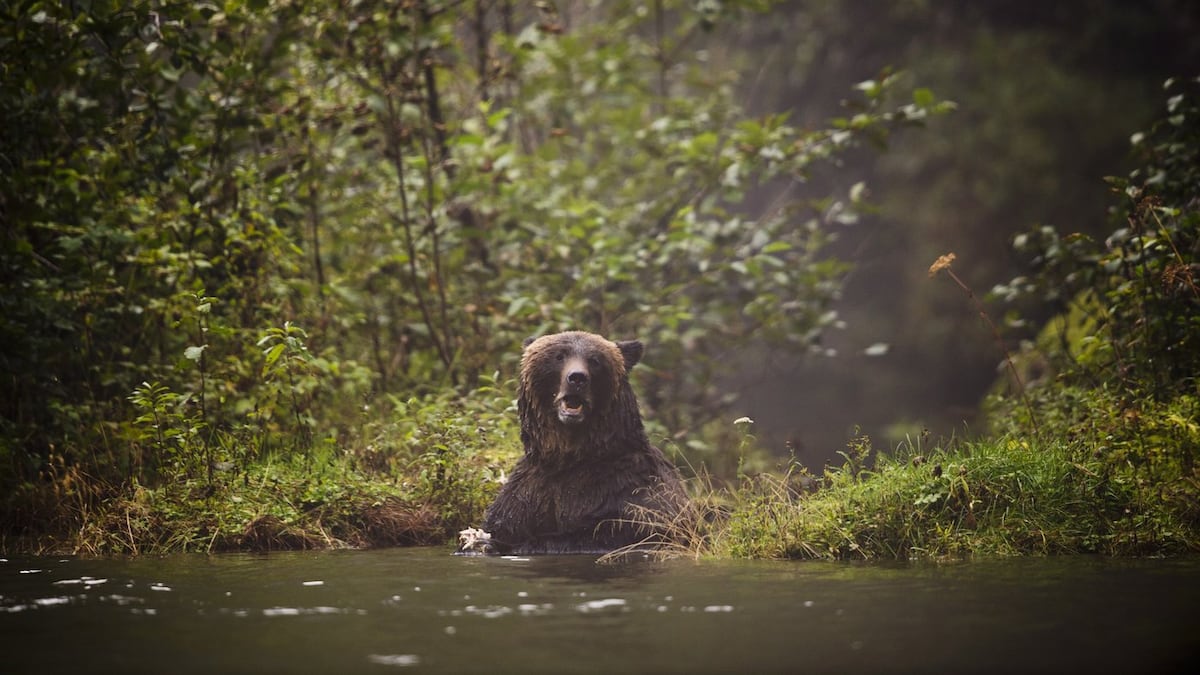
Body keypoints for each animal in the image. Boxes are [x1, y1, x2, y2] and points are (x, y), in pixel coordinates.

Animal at [463, 331, 690, 555]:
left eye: (595, 360)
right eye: (559, 356)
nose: (577, 378)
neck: (570, 456)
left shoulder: (631, 489)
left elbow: (618, 532)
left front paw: (492, 543)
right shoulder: (527, 491)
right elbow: (504, 521)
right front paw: (478, 540)